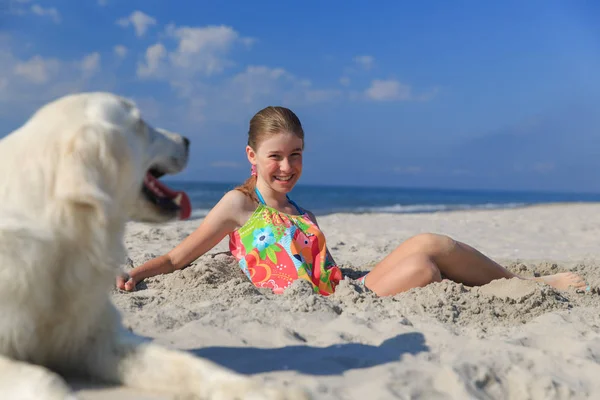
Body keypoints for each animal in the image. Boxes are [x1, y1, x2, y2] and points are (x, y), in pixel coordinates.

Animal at [0, 93, 310, 400]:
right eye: (139, 124)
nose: (186, 140)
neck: (64, 236)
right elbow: (45, 379)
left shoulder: (96, 338)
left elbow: (190, 365)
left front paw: (268, 390)